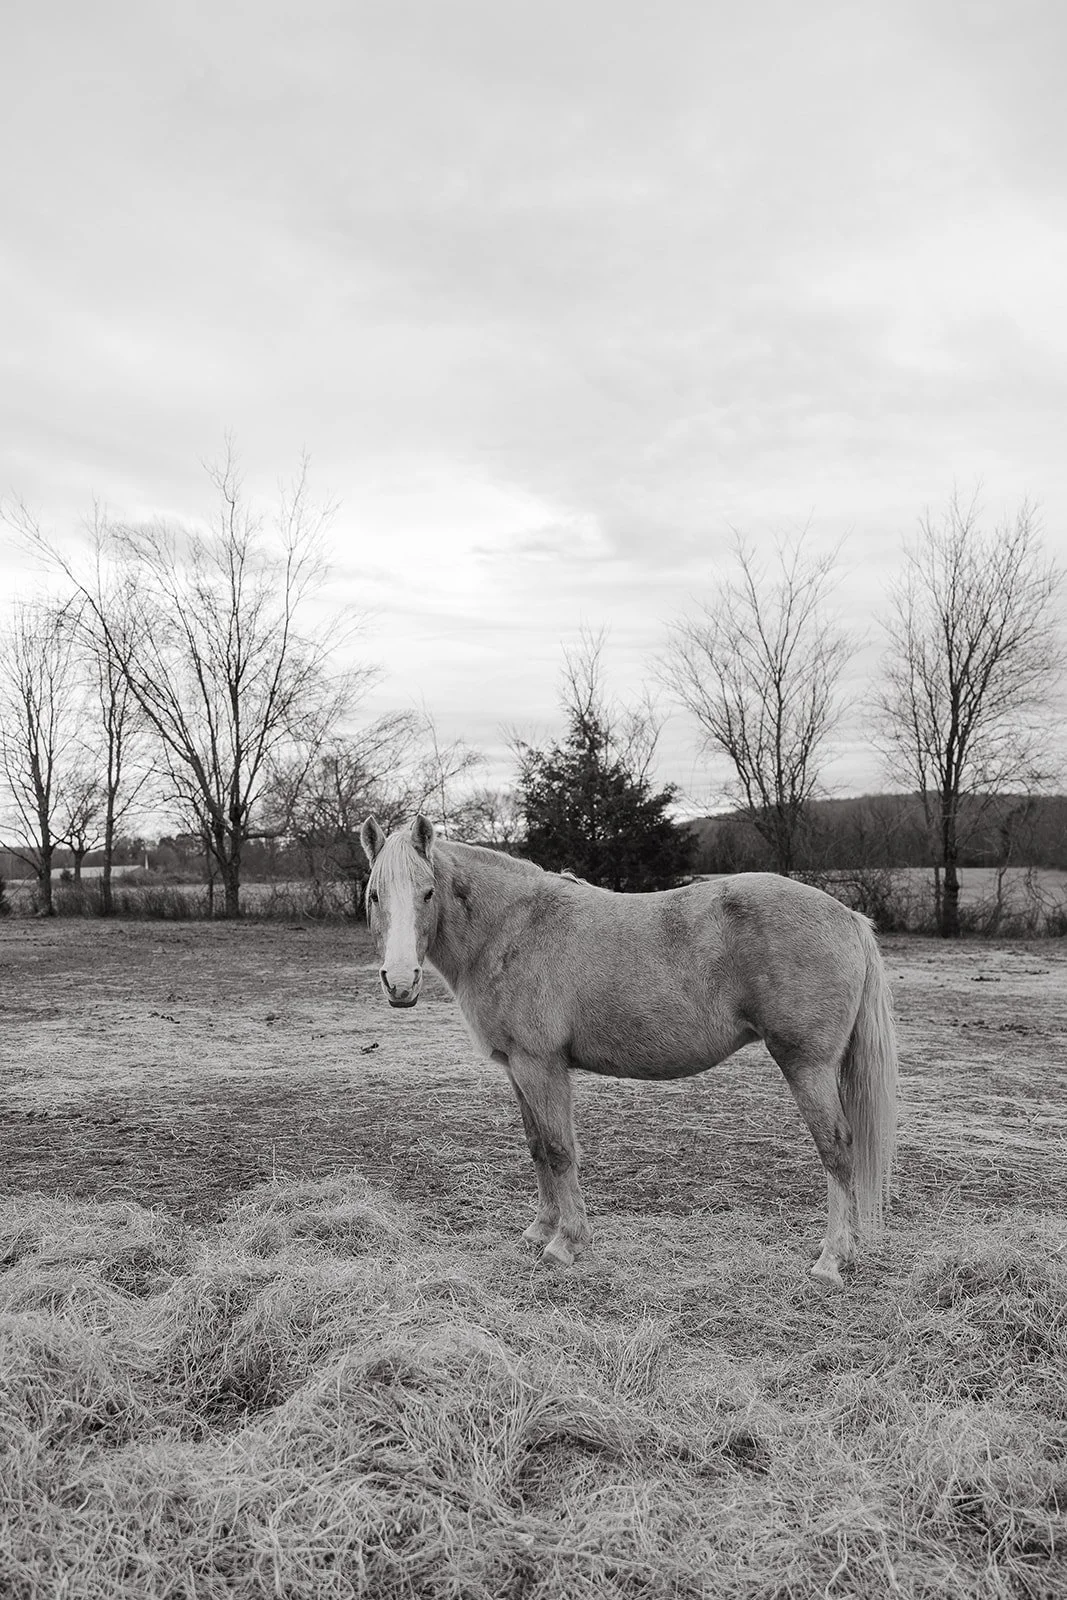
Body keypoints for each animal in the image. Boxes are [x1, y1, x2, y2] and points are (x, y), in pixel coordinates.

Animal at [359, 815, 897, 1287]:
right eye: (374, 895)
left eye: (428, 893)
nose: (400, 983)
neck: (512, 929)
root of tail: (847, 916)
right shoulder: (516, 1069)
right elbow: (537, 1147)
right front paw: (538, 1230)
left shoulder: (540, 1066)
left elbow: (560, 1150)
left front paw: (566, 1244)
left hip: (807, 1065)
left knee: (837, 1150)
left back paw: (830, 1260)